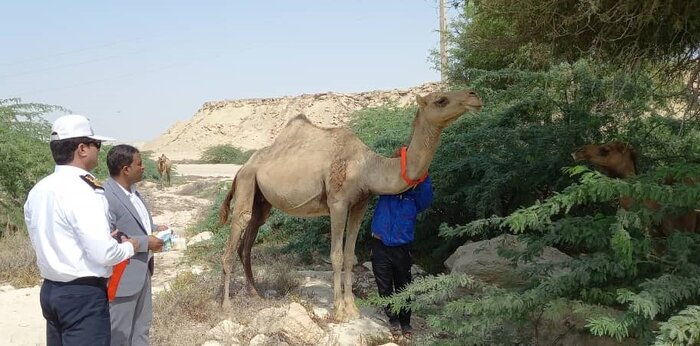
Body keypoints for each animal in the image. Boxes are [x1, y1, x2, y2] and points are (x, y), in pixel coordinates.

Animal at [217, 88, 482, 320]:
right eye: (440, 100)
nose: (474, 96)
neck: (366, 168)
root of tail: (242, 166)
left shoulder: (360, 204)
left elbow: (349, 255)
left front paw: (352, 308)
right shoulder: (338, 203)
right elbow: (335, 255)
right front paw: (339, 310)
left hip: (261, 200)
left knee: (249, 238)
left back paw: (255, 295)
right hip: (247, 181)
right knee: (236, 230)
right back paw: (226, 306)